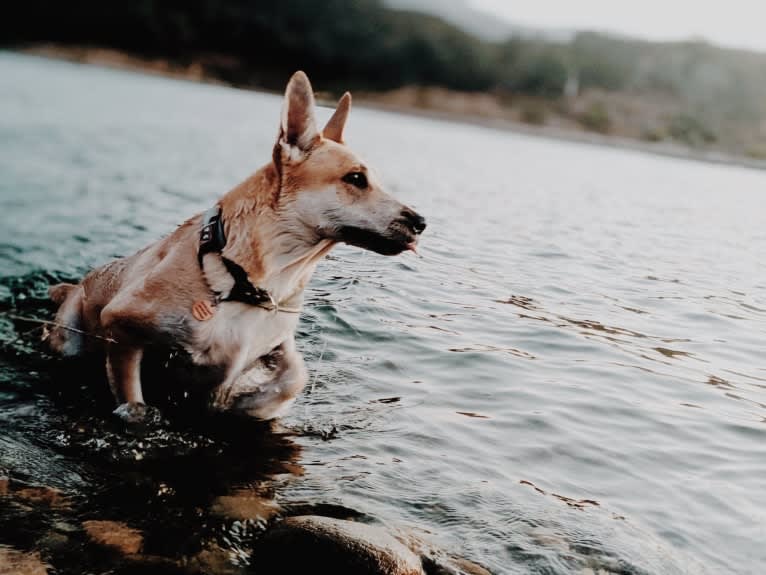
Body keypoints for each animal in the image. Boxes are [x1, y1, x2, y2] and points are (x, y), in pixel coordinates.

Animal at [46, 73, 426, 424]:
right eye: (356, 179)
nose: (421, 222)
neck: (243, 280)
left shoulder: (267, 354)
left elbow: (291, 377)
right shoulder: (121, 324)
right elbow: (133, 399)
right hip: (70, 333)